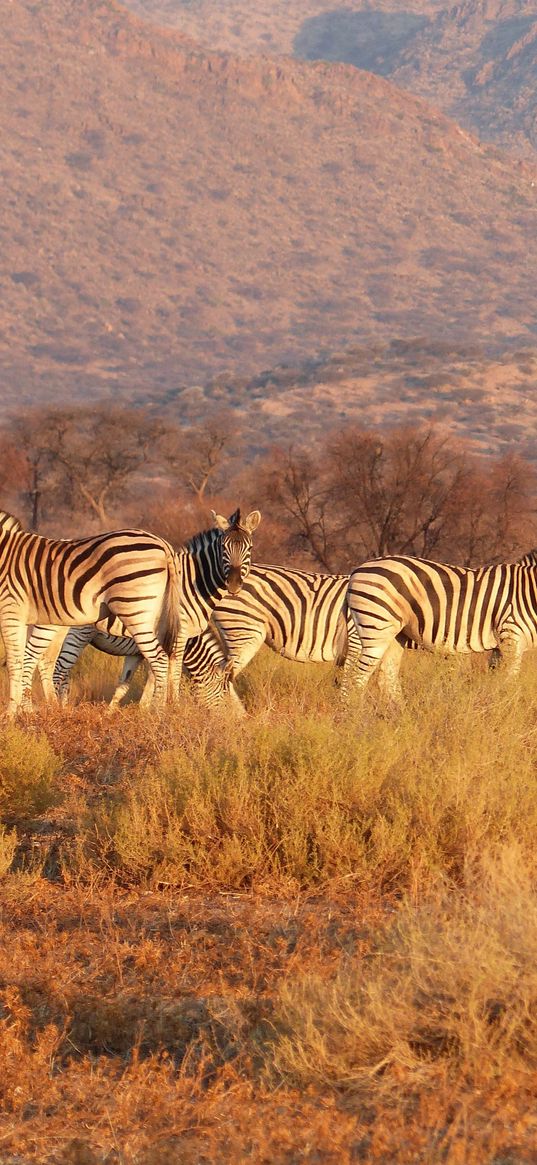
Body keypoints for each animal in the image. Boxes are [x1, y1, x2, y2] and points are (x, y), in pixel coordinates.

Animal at [0, 512, 181, 712]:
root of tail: (163, 544)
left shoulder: (10, 612)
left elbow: (14, 663)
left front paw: (12, 714)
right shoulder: (17, 617)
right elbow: (19, 660)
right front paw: (20, 711)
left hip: (133, 611)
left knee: (159, 659)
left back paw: (156, 713)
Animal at [21, 510, 260, 708]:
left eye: (249, 548)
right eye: (223, 548)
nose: (234, 584)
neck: (193, 582)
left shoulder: (145, 648)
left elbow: (132, 682)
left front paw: (143, 710)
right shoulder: (179, 635)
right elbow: (169, 675)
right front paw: (169, 707)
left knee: (45, 662)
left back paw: (52, 706)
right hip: (63, 627)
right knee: (44, 661)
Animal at [342, 552, 537, 703]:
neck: (529, 592)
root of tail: (356, 570)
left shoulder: (499, 646)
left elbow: (496, 681)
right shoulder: (510, 637)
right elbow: (509, 683)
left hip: (396, 635)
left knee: (386, 676)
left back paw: (401, 718)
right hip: (375, 629)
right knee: (356, 679)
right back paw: (353, 719)